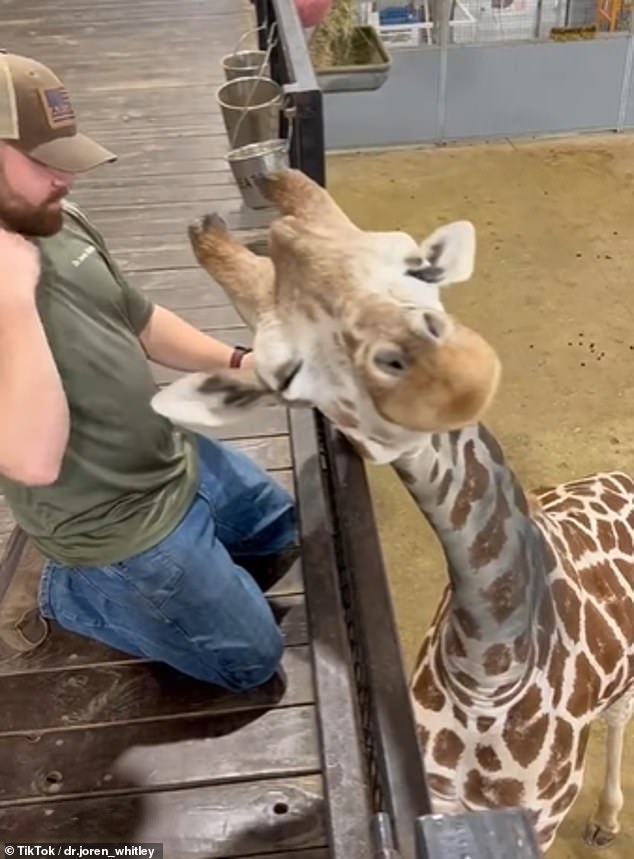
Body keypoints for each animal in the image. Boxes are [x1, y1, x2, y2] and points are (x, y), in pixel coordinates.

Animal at [151, 168, 628, 852]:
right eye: (286, 373)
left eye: (418, 268)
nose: (453, 376)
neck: (485, 679)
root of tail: (615, 478)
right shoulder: (443, 800)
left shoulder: (539, 818)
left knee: (620, 719)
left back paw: (607, 821)